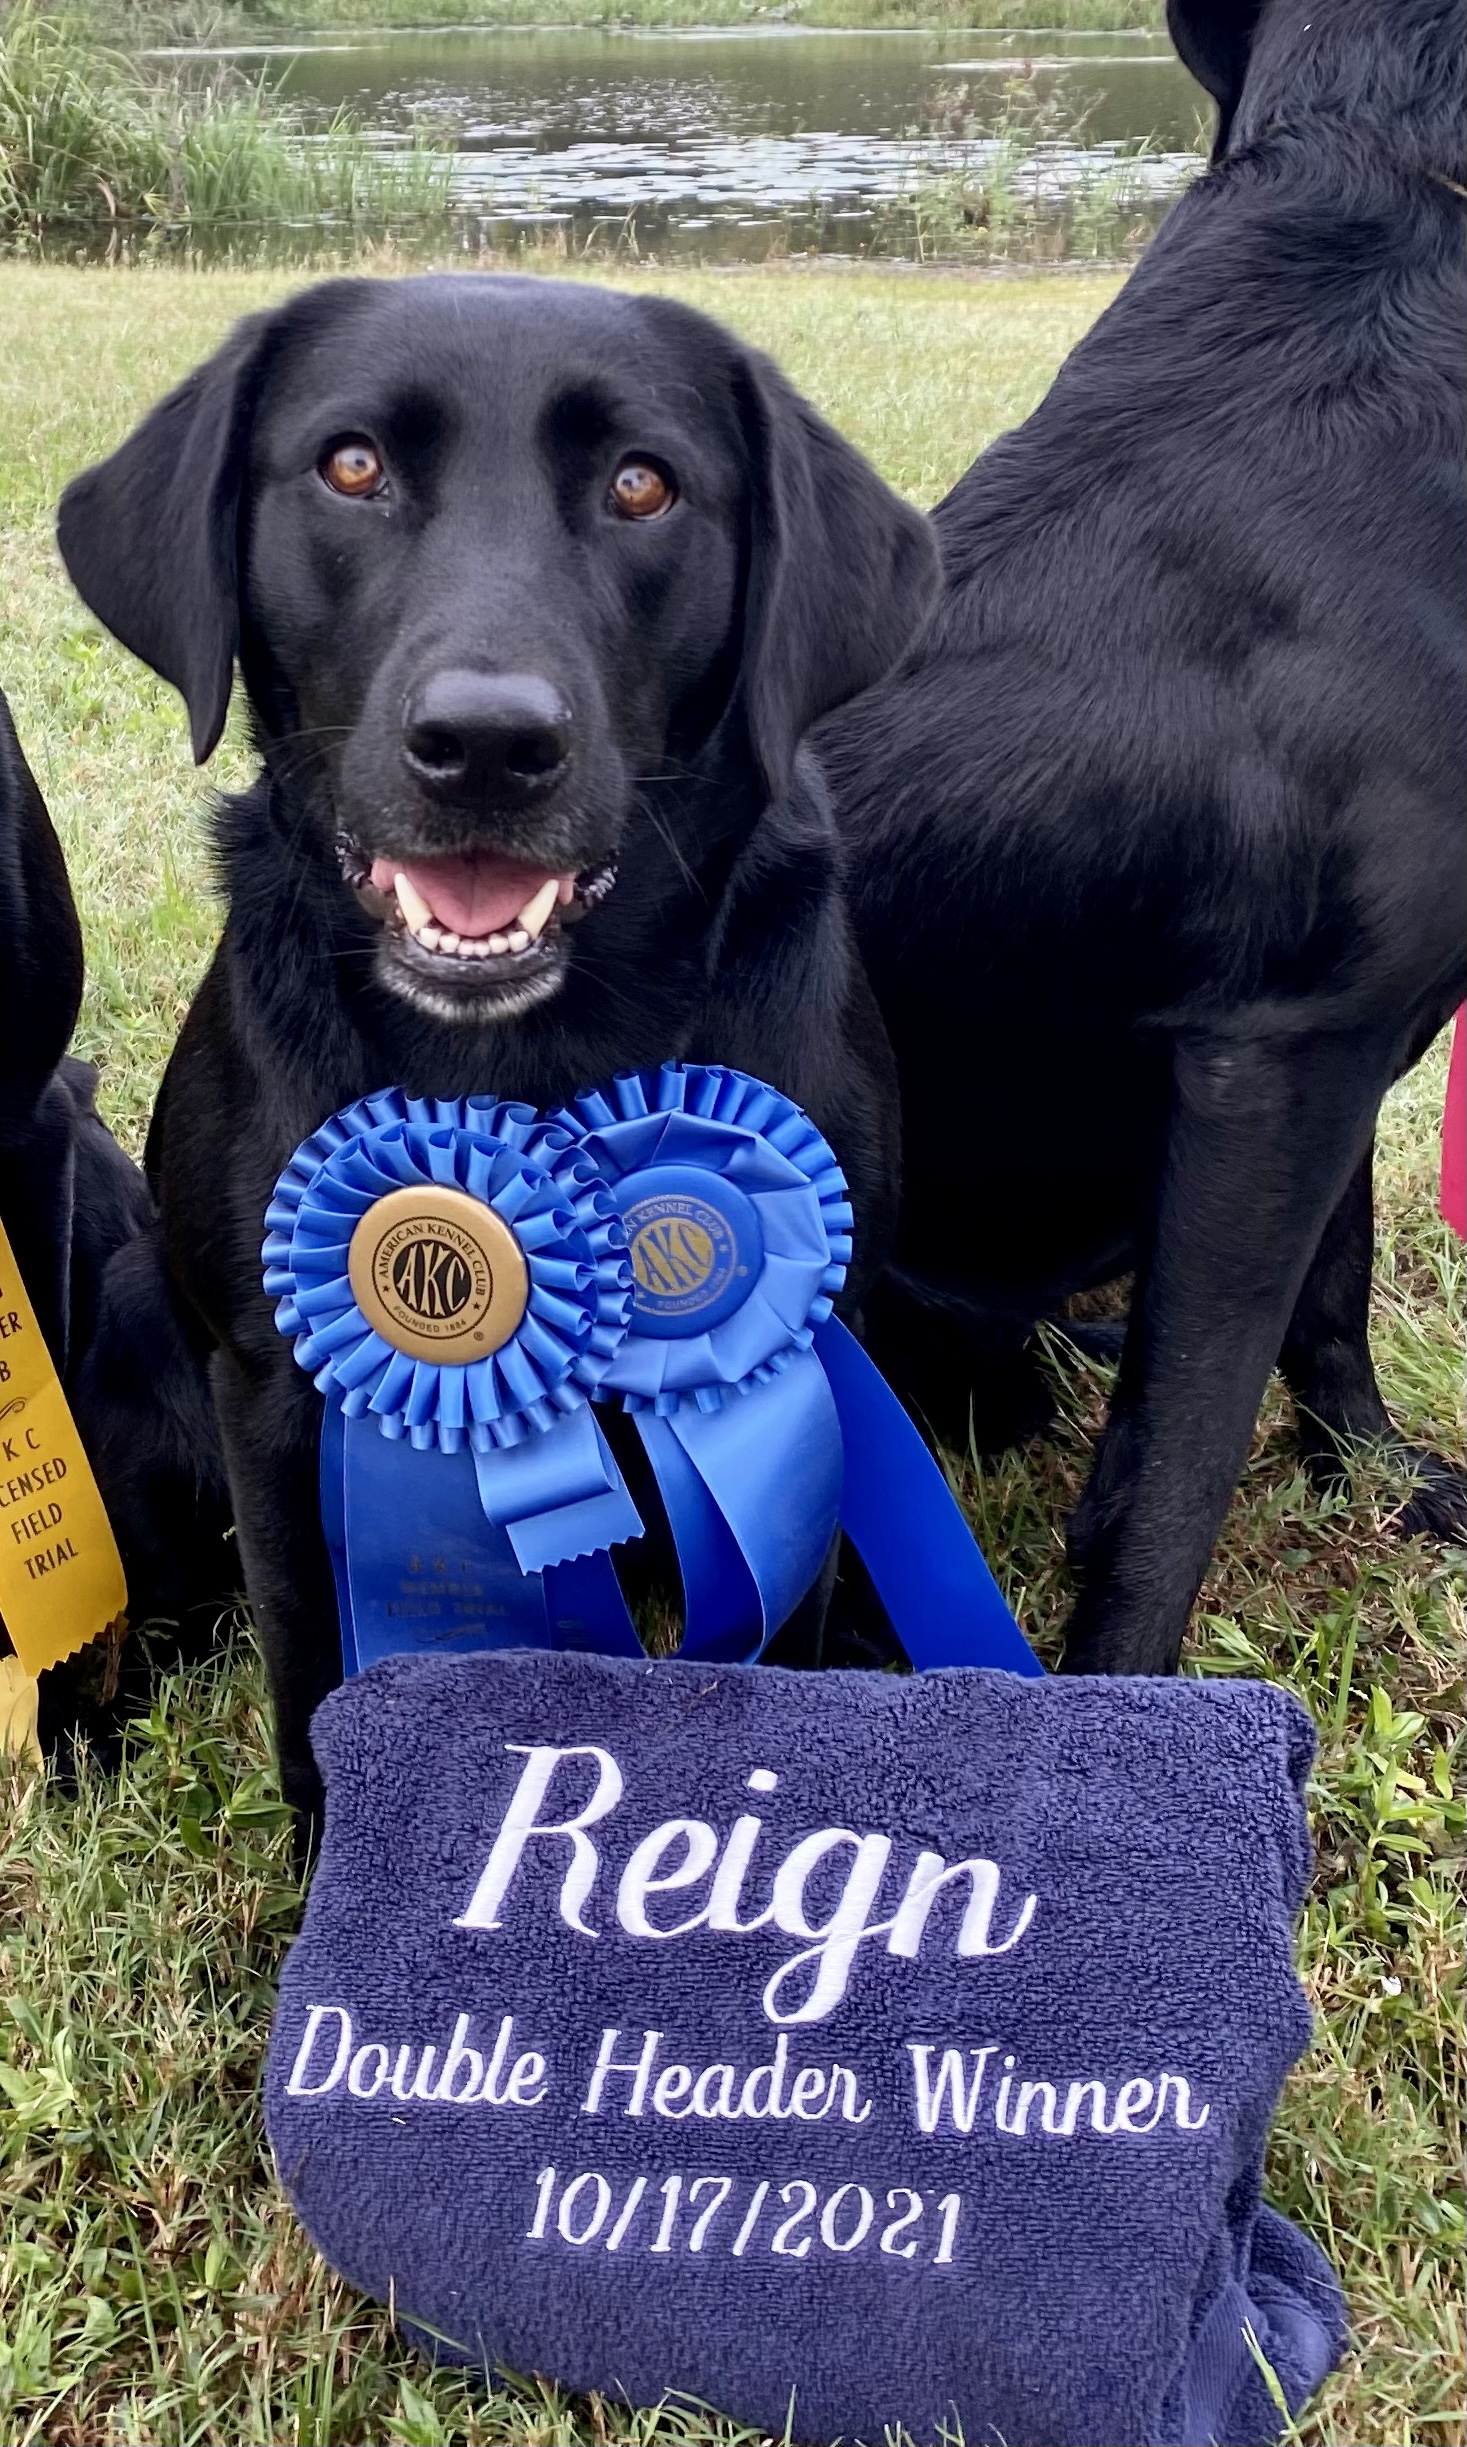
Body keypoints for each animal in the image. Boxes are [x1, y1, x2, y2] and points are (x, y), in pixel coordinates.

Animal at [57, 267, 933, 1840]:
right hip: (148, 1320)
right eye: (352, 465)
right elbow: (312, 1672)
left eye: (642, 484)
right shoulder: (273, 1393)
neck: (527, 1060)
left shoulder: (798, 1365)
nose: (483, 743)